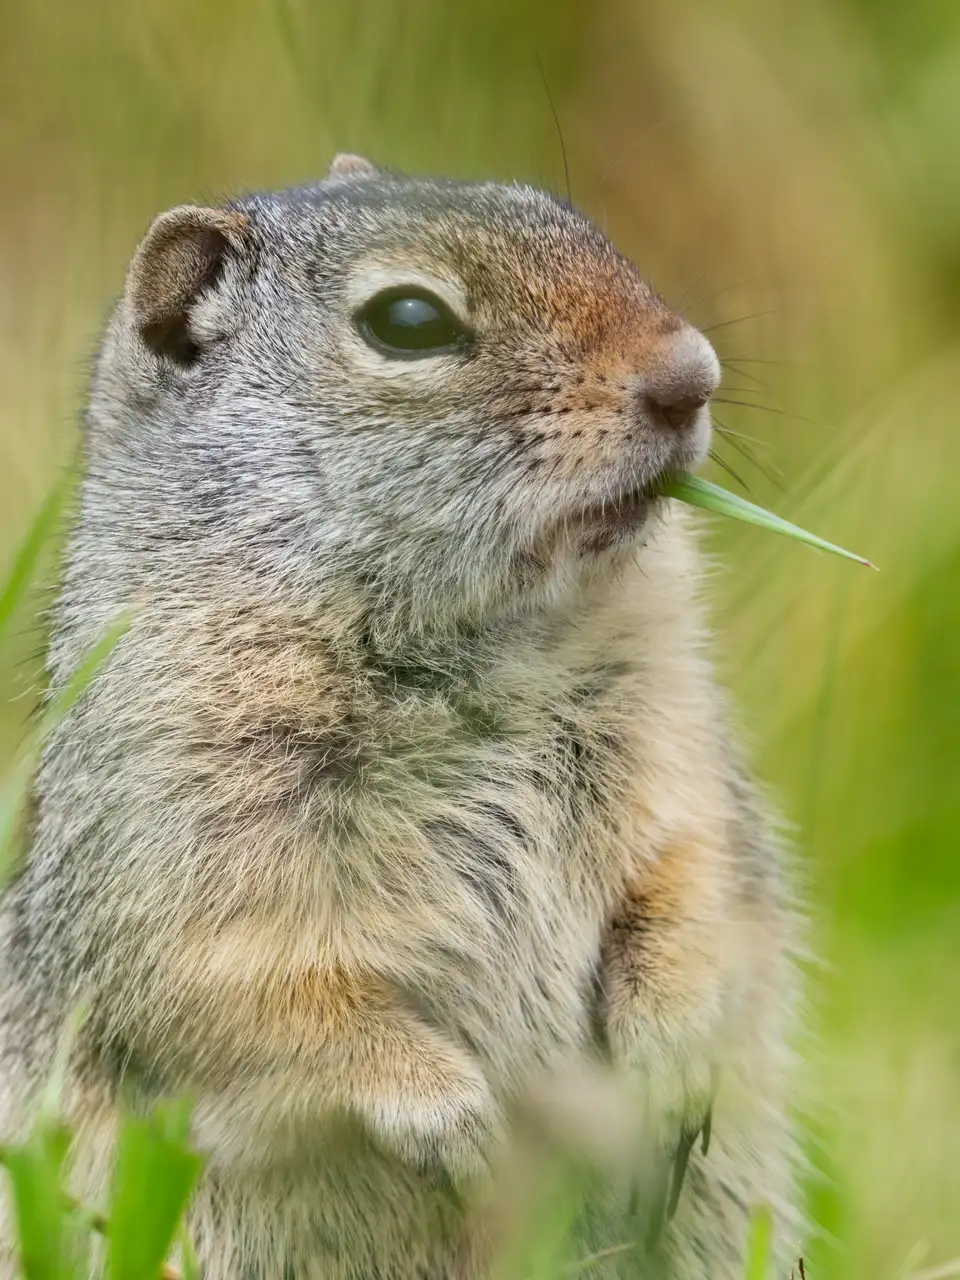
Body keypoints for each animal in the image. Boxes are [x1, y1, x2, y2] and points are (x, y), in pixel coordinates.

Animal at [0, 153, 801, 1278]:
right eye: (409, 319)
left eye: (569, 217)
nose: (694, 374)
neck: (489, 645)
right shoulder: (177, 835)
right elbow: (258, 1002)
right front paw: (457, 1119)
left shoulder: (677, 746)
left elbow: (695, 881)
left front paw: (670, 1066)